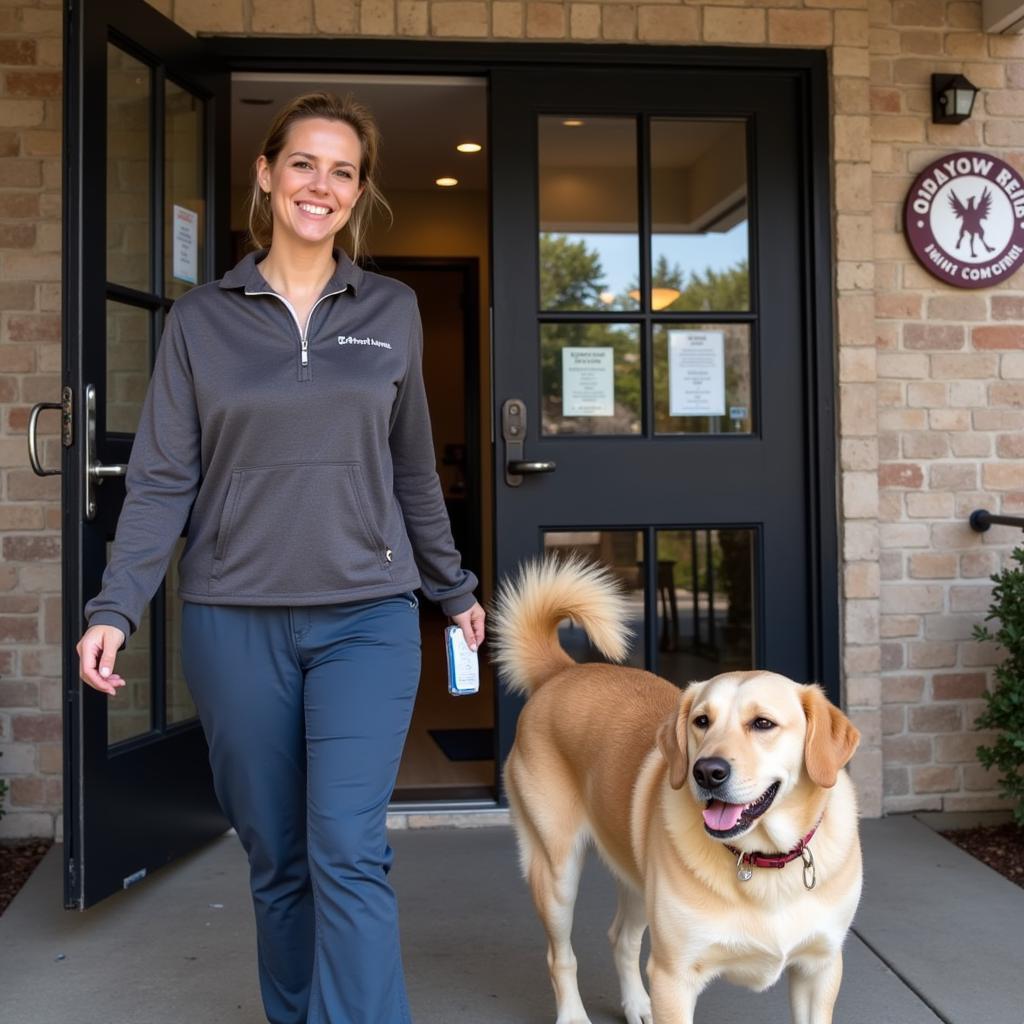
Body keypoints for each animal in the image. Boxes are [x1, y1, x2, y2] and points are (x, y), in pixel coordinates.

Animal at [491, 557, 860, 1019]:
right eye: (702, 721)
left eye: (763, 723)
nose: (707, 772)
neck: (763, 860)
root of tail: (565, 670)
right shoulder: (674, 975)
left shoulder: (819, 969)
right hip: (556, 872)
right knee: (560, 956)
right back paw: (573, 1015)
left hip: (636, 881)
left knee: (621, 938)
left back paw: (637, 1005)